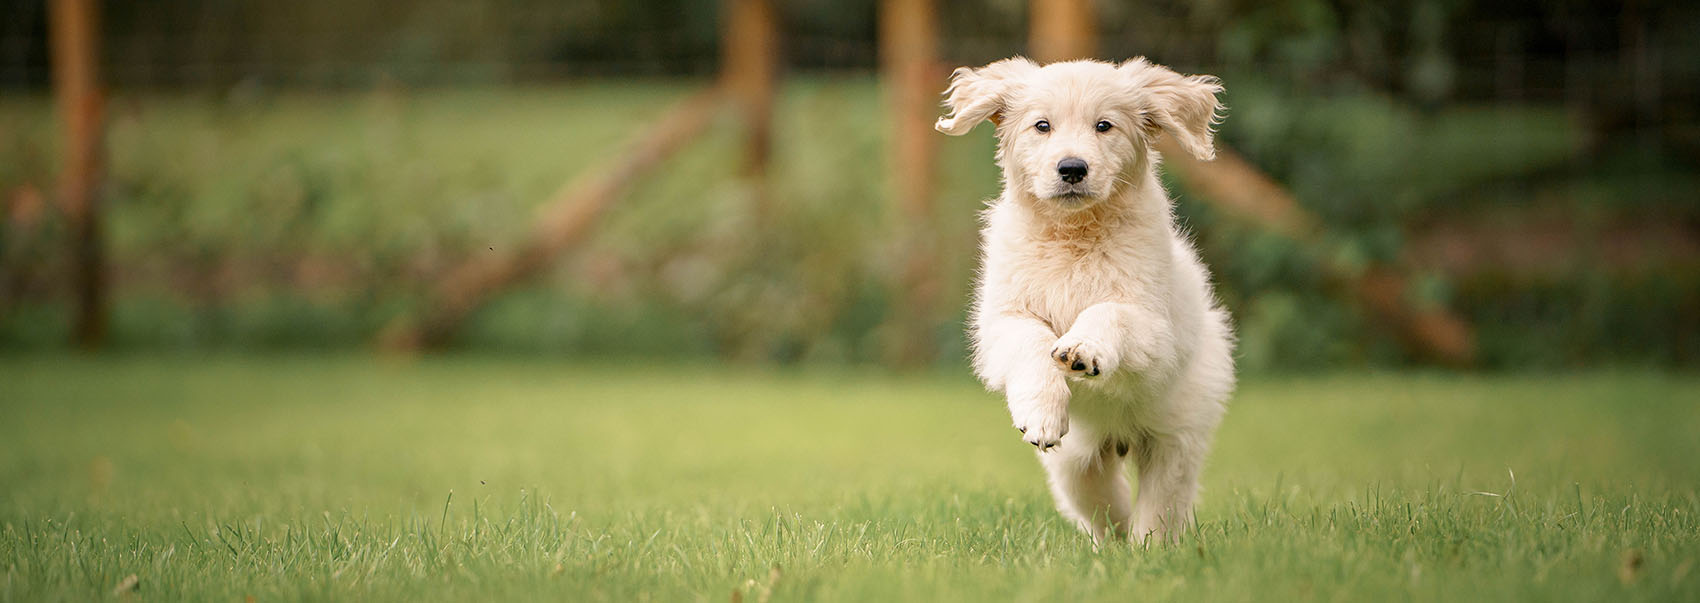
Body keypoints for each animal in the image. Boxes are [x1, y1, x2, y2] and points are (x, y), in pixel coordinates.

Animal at [945, 57, 1237, 546]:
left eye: (1105, 126)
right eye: (1042, 125)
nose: (1072, 168)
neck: (1074, 233)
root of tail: (1118, 438)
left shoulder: (1151, 323)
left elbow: (1108, 311)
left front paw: (1082, 348)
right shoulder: (1004, 318)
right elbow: (1030, 342)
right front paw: (1041, 412)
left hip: (1177, 436)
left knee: (1161, 507)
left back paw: (1147, 549)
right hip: (1075, 465)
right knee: (1104, 505)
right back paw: (1112, 547)